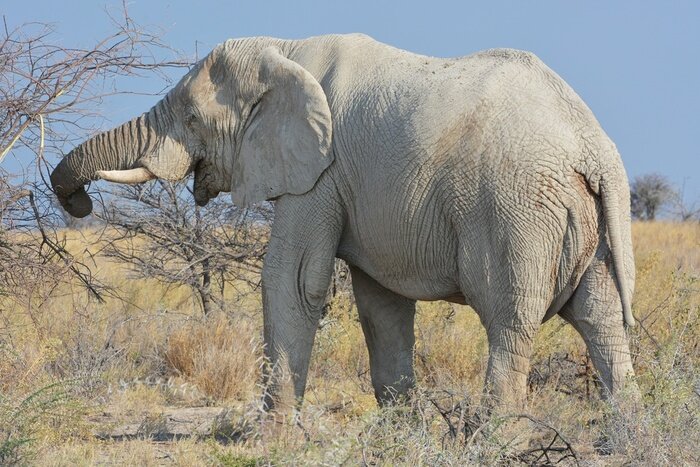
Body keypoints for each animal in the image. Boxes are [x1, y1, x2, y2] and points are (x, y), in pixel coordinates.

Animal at [51, 33, 637, 411]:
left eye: (193, 120)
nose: (79, 205)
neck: (284, 51)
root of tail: (595, 147)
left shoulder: (321, 172)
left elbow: (292, 280)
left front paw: (275, 440)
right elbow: (380, 305)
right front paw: (400, 436)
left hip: (517, 211)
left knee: (509, 322)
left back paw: (496, 440)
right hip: (585, 217)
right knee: (602, 320)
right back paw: (629, 436)